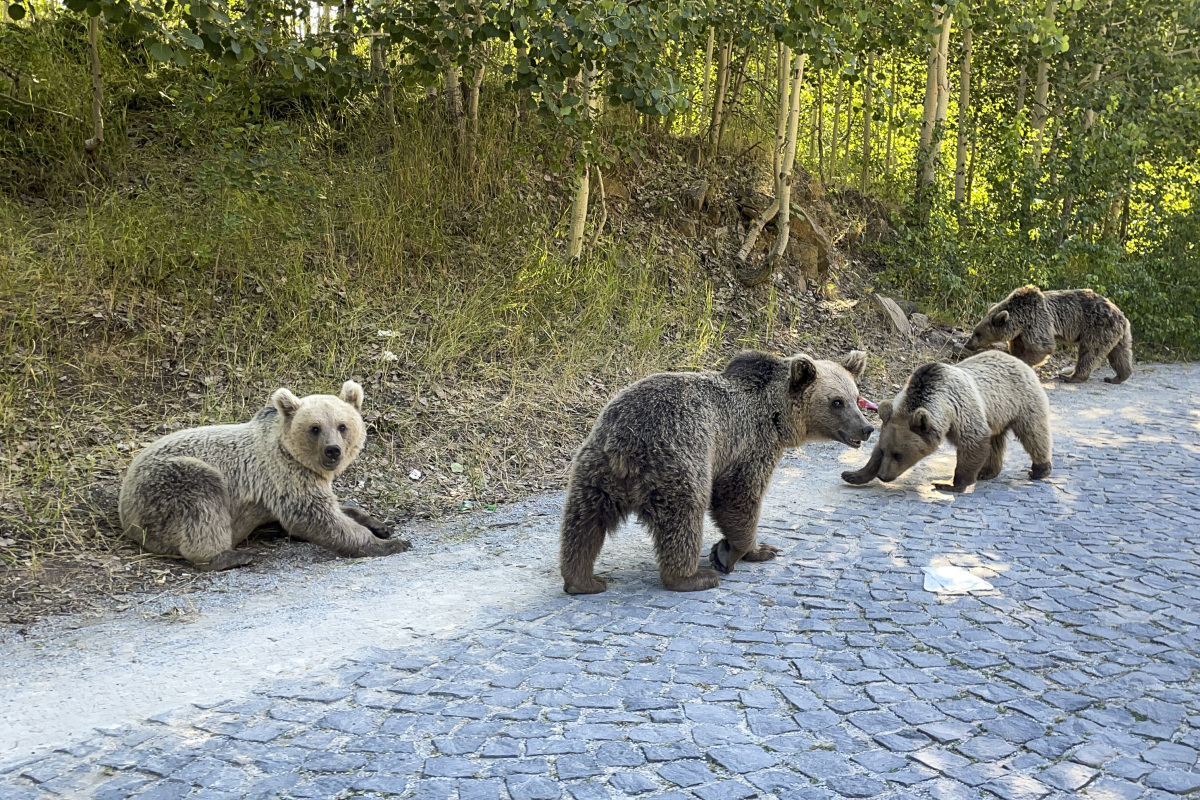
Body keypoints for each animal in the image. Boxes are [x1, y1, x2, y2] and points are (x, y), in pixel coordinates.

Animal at [120, 381, 412, 568]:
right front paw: (393, 543)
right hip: (168, 484)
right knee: (201, 503)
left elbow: (337, 509)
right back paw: (229, 557)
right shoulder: (284, 475)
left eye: (342, 425)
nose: (333, 451)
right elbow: (316, 516)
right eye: (315, 428)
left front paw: (381, 525)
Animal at [556, 350, 878, 594]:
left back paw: (583, 580)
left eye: (856, 397)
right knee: (684, 516)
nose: (866, 428)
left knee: (584, 521)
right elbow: (738, 497)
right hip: (679, 458)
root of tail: (624, 444)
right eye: (836, 402)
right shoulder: (748, 447)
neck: (776, 417)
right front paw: (744, 551)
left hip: (595, 470)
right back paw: (692, 577)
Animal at [844, 352, 1051, 494]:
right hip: (996, 414)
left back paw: (1040, 469)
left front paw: (951, 484)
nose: (883, 475)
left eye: (898, 454)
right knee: (996, 441)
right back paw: (987, 471)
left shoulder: (962, 412)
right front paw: (852, 475)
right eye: (884, 451)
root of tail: (1017, 360)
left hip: (1021, 401)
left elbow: (973, 442)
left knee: (1034, 433)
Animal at [964, 286, 1132, 386]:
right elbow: (1019, 347)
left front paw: (1023, 363)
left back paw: (1070, 376)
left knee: (1089, 352)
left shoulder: (1037, 321)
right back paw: (1117, 377)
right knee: (1120, 354)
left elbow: (1042, 347)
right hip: (1118, 334)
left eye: (978, 333)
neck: (1020, 319)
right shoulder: (1021, 333)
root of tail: (1120, 315)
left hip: (1097, 327)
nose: (968, 344)